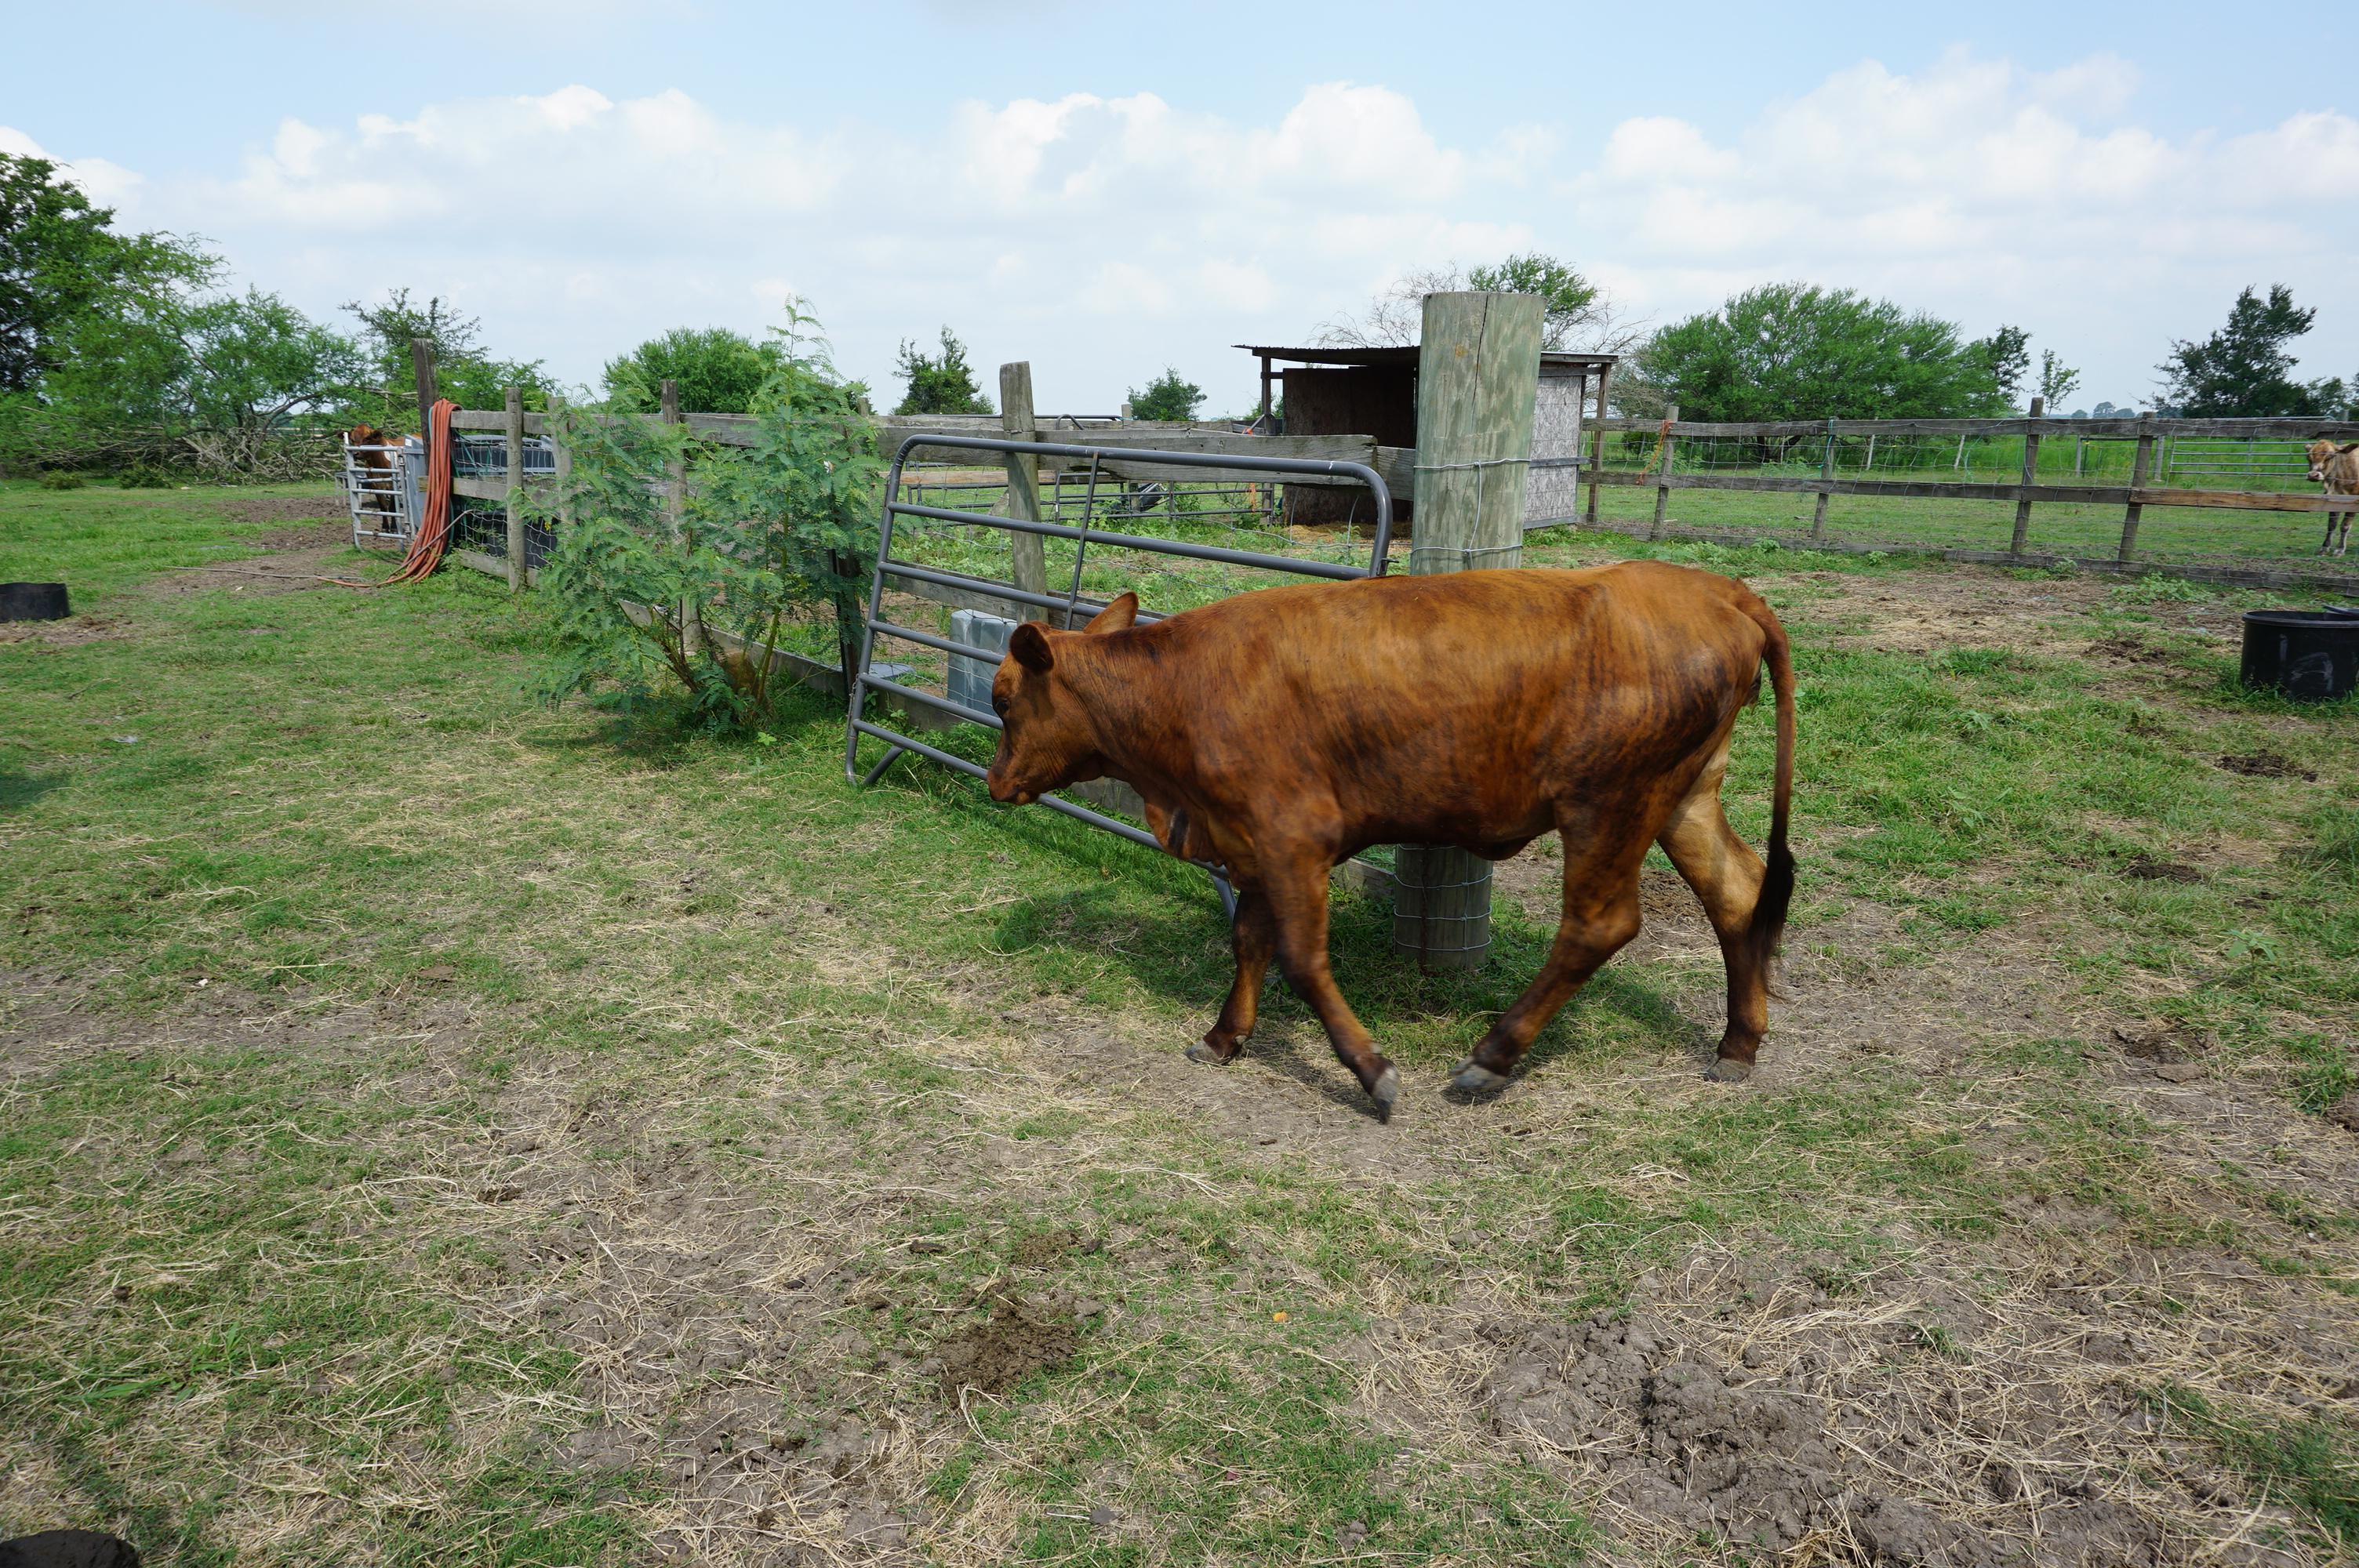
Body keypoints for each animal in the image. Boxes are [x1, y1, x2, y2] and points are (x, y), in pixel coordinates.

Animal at [986, 563, 1793, 1112]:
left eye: (1002, 701)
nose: (994, 781)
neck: (1182, 691)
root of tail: (1719, 590)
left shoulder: (1293, 836)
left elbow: (1302, 960)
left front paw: (1371, 1069)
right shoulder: (1254, 842)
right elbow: (1249, 941)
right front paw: (1222, 1038)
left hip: (1609, 802)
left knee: (1600, 924)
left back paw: (1491, 1058)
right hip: (1683, 795)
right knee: (1739, 893)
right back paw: (1738, 1044)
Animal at [2302, 436, 2359, 558]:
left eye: (2331, 456)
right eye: (2308, 456)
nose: (2313, 475)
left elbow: (2345, 525)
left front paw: (2340, 549)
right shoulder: (2334, 500)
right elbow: (2331, 525)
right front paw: (2324, 547)